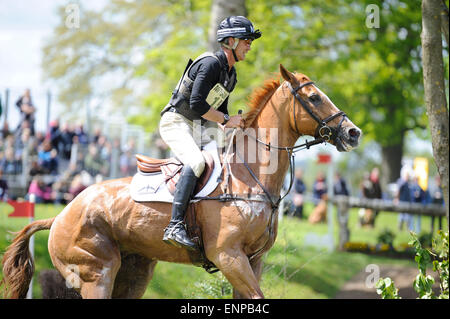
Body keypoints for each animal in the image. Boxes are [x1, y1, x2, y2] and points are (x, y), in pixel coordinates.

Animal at [0, 65, 358, 300]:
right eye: (314, 97)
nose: (353, 132)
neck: (249, 177)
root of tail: (60, 214)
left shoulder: (253, 261)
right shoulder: (229, 257)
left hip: (134, 272)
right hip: (96, 273)